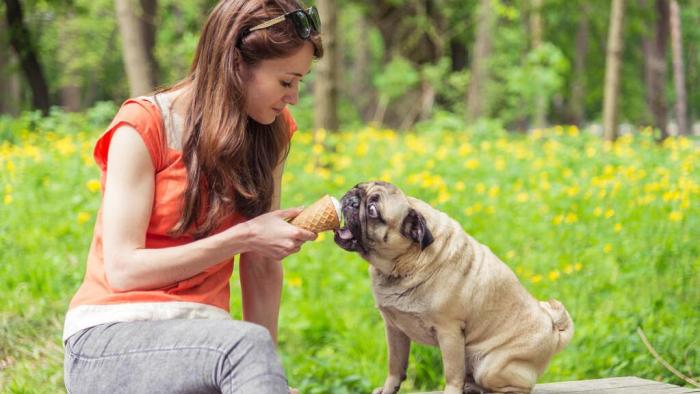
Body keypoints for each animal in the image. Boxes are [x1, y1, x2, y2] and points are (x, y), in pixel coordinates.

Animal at [334, 182, 576, 394]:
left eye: (372, 210)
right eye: (358, 186)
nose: (352, 198)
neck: (404, 264)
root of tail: (554, 331)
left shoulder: (449, 332)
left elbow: (452, 373)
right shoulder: (394, 329)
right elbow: (395, 366)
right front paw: (388, 389)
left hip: (491, 366)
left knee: (515, 388)